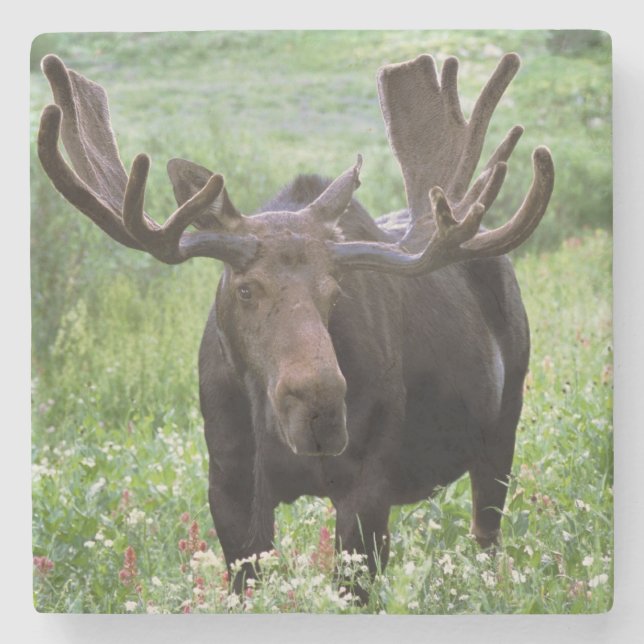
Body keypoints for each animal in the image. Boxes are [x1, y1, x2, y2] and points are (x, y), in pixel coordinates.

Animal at [36, 51, 554, 601]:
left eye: (335, 291)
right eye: (246, 289)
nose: (321, 406)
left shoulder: (368, 485)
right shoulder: (229, 484)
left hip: (503, 425)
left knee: (487, 536)